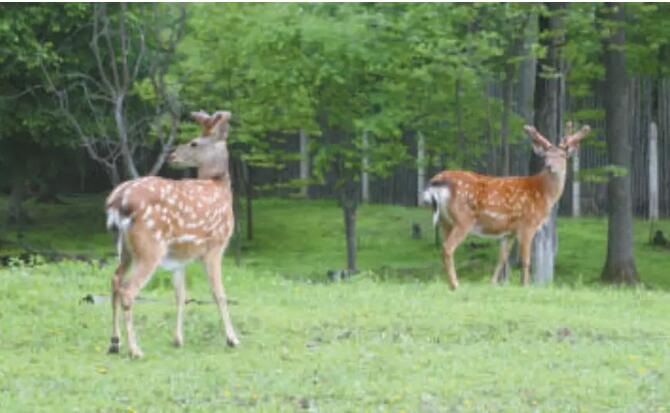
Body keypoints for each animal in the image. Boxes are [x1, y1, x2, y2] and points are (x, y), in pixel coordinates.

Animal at [105, 110, 239, 358]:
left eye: (194, 143)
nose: (173, 156)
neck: (220, 188)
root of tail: (117, 201)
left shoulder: (179, 257)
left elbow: (180, 294)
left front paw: (178, 339)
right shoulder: (215, 245)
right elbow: (219, 293)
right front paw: (232, 339)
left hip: (124, 248)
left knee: (115, 280)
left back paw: (114, 342)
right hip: (150, 246)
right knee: (128, 289)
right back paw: (135, 350)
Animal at [423, 123, 591, 290]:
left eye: (562, 155)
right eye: (545, 156)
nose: (549, 166)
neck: (544, 194)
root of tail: (436, 182)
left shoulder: (508, 232)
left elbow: (502, 258)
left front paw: (493, 283)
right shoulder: (528, 224)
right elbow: (526, 260)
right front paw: (525, 285)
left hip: (445, 221)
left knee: (443, 247)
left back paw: (450, 284)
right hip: (463, 219)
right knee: (448, 248)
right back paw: (455, 284)